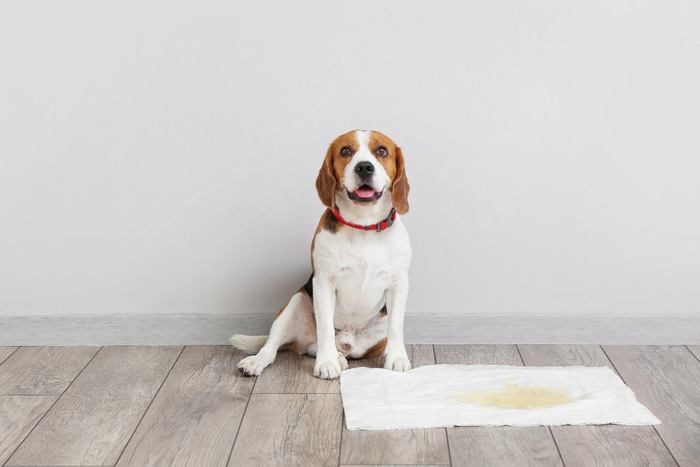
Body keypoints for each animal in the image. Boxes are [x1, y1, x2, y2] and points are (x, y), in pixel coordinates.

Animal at [232, 129, 412, 380]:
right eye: (345, 151)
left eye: (382, 151)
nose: (364, 167)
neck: (363, 225)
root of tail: (347, 341)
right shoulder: (324, 282)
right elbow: (325, 327)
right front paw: (326, 363)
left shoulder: (398, 284)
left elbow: (396, 325)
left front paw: (397, 358)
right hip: (295, 303)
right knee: (276, 345)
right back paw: (260, 361)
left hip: (373, 336)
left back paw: (340, 355)